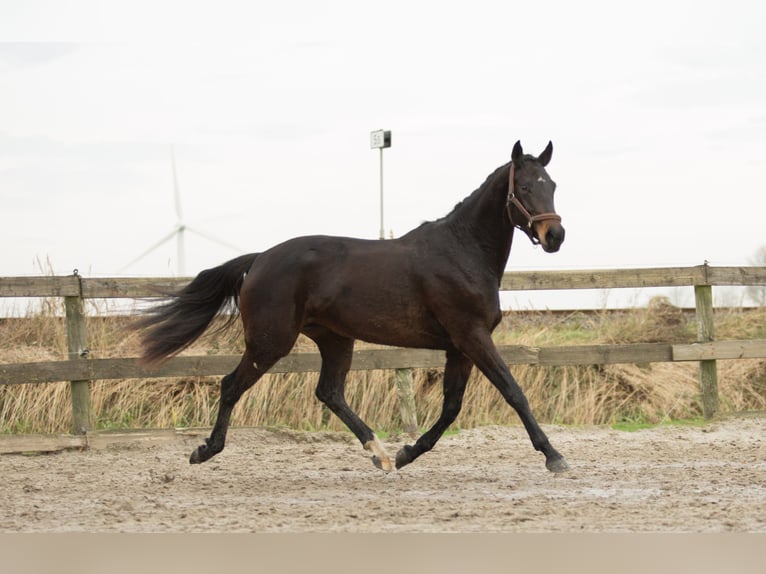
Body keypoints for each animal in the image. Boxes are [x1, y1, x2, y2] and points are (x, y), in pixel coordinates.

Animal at [136, 142, 568, 474]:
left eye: (552, 185)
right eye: (523, 187)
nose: (555, 236)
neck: (462, 251)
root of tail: (259, 260)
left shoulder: (458, 347)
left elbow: (451, 407)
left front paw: (407, 453)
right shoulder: (472, 337)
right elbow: (513, 392)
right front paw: (554, 456)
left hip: (335, 339)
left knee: (329, 393)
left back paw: (381, 455)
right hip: (270, 342)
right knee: (231, 385)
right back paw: (205, 450)